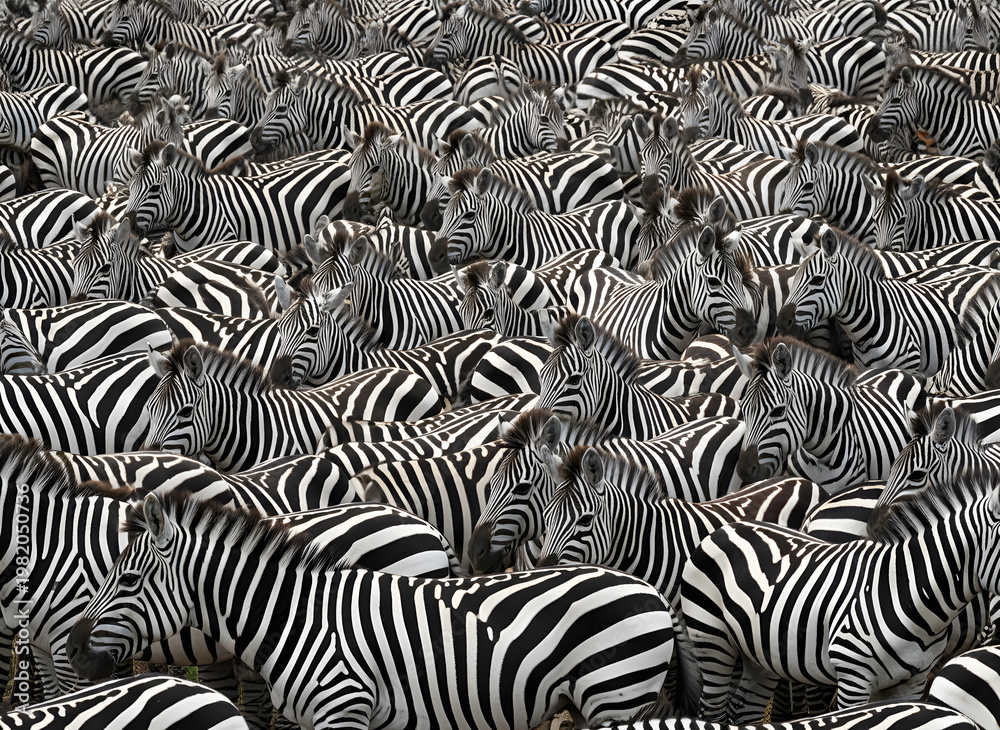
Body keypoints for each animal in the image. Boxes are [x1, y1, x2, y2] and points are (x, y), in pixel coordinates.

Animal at [67, 493, 686, 728]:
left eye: (126, 578)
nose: (73, 651)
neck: (294, 619)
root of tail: (651, 592)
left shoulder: (346, 710)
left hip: (617, 696)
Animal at [680, 467, 1000, 721]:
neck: (909, 595)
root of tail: (725, 529)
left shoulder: (913, 683)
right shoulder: (853, 677)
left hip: (760, 654)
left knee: (743, 710)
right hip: (713, 641)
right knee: (712, 709)